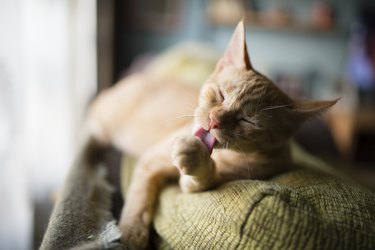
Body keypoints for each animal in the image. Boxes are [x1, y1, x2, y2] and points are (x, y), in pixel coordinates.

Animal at [84, 22, 338, 250]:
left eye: (247, 120)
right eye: (221, 94)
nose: (214, 120)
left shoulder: (205, 182)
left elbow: (199, 178)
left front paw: (196, 157)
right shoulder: (151, 160)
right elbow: (139, 197)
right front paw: (132, 232)